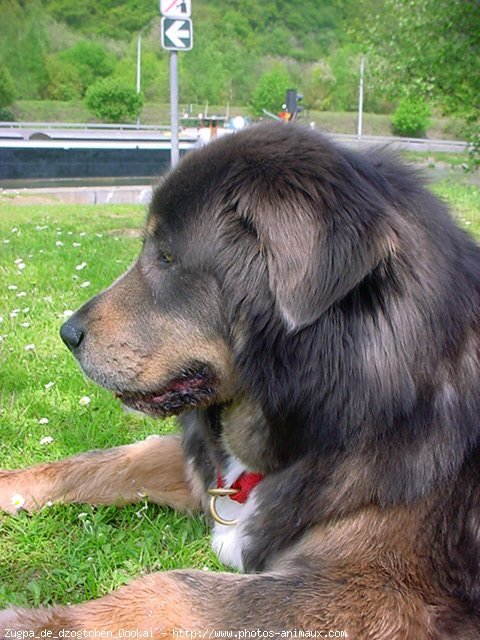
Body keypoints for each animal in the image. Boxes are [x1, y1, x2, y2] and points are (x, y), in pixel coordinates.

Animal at [0, 122, 480, 636]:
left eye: (167, 257)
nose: (67, 334)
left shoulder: (382, 592)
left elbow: (170, 590)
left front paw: (33, 623)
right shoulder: (208, 472)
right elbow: (103, 461)